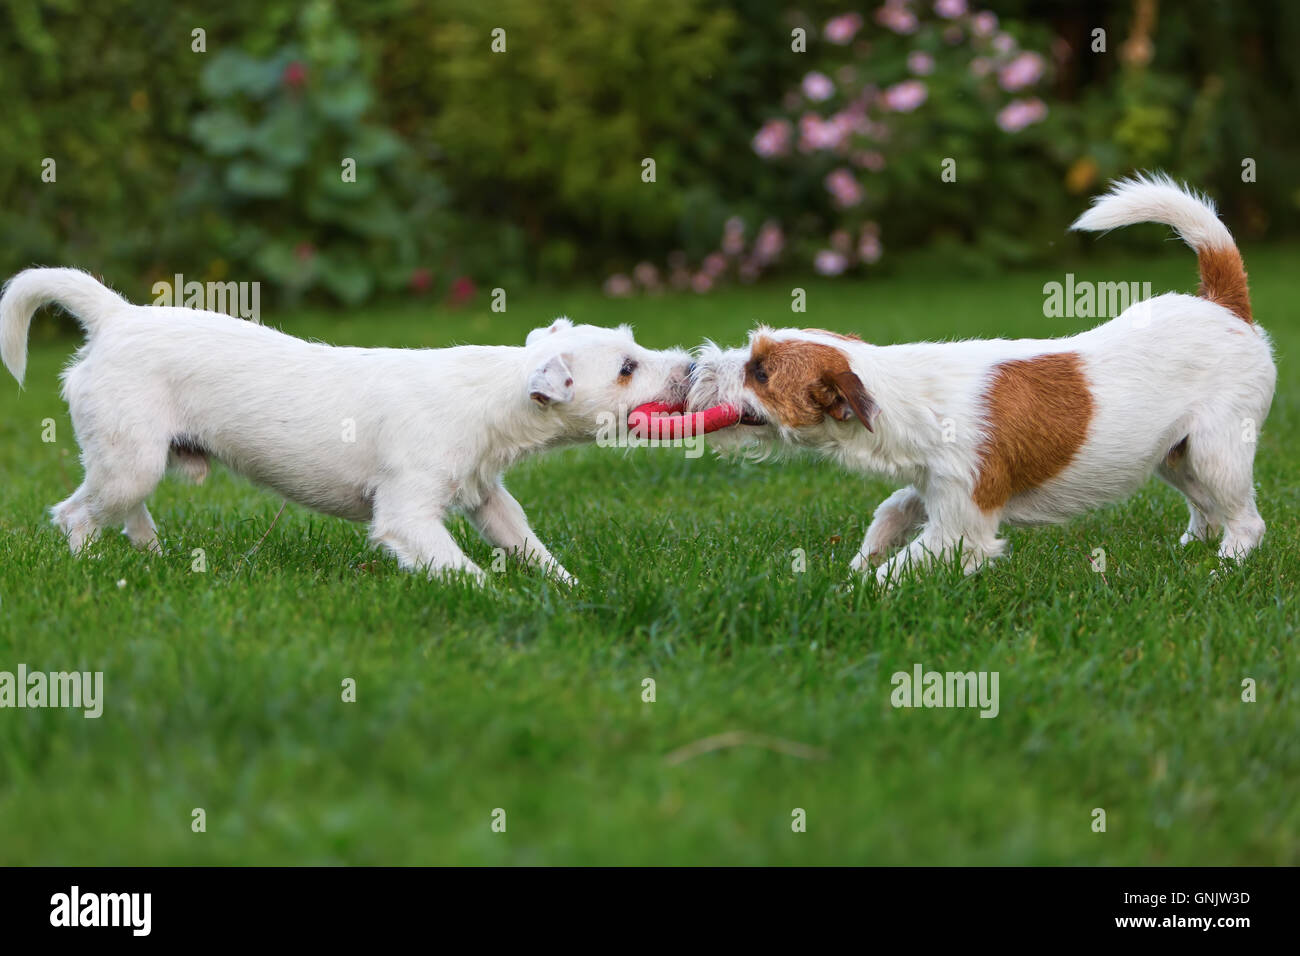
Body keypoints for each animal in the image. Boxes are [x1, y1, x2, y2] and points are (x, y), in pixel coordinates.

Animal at [5, 269, 696, 582]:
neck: (493, 393)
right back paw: (94, 566)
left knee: (127, 512)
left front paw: (566, 588)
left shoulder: (487, 497)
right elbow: (455, 565)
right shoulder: (408, 513)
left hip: (136, 461)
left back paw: (153, 558)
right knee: (76, 514)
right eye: (628, 368)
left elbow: (526, 542)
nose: (691, 366)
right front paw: (494, 595)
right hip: (129, 459)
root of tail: (116, 317)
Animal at [686, 175, 1274, 587]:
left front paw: (851, 594)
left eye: (760, 372)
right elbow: (891, 510)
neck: (899, 393)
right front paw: (859, 562)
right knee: (1206, 508)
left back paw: (1223, 569)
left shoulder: (961, 525)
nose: (694, 369)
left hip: (1218, 449)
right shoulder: (933, 486)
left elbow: (906, 564)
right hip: (1175, 455)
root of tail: (1224, 305)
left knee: (1245, 520)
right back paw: (1187, 551)